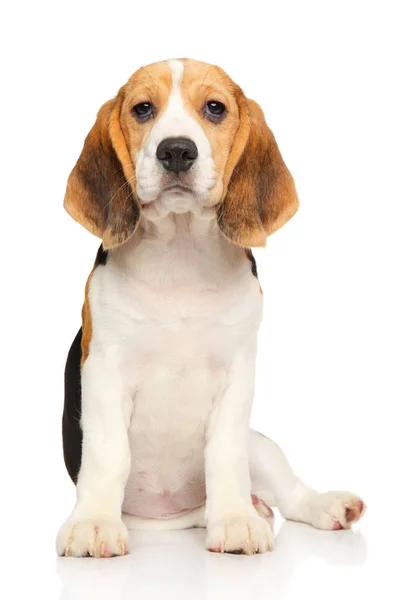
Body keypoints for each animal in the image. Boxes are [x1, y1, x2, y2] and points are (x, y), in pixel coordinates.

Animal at [56, 58, 366, 556]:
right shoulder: (104, 370)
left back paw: (318, 506)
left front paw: (236, 520)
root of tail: (178, 518)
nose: (176, 151)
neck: (181, 252)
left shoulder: (237, 373)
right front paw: (95, 524)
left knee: (290, 493)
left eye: (215, 109)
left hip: (260, 446)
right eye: (143, 109)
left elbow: (223, 454)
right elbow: (108, 454)